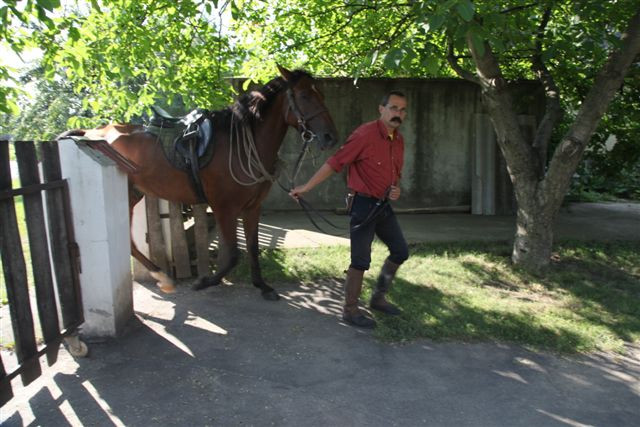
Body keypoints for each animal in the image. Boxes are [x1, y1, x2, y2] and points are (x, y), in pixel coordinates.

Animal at [60, 67, 340, 300]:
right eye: (304, 95)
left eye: (321, 95)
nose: (330, 137)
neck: (240, 146)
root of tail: (92, 133)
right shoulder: (224, 208)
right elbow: (233, 255)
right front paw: (205, 281)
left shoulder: (252, 208)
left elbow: (252, 248)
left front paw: (262, 286)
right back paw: (163, 277)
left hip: (133, 194)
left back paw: (162, 277)